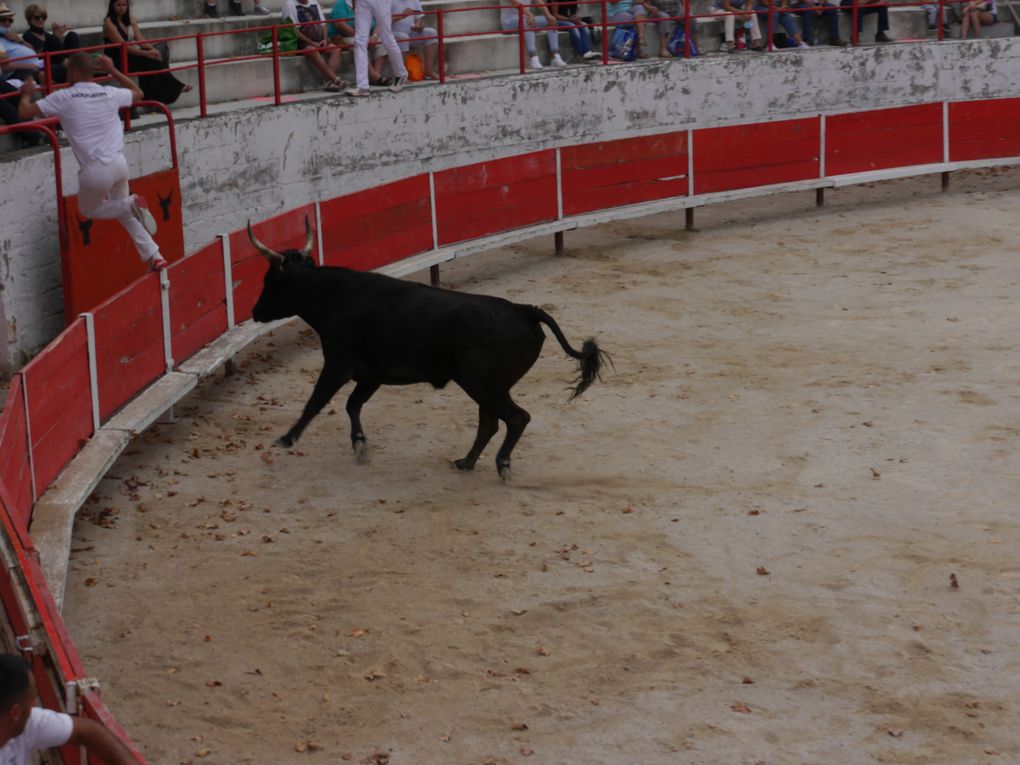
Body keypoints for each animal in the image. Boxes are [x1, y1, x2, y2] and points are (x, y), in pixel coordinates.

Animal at [247, 221, 612, 479]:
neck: (336, 297)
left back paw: (501, 463)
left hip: (482, 383)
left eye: (270, 281)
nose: (255, 312)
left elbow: (316, 402)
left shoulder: (338, 363)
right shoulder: (370, 374)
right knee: (491, 422)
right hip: (487, 387)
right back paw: (466, 462)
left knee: (515, 418)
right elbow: (352, 405)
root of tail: (525, 310)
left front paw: (287, 439)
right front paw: (360, 444)